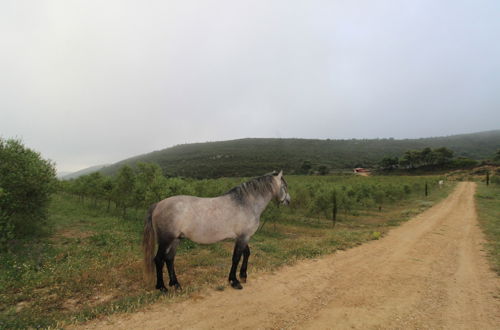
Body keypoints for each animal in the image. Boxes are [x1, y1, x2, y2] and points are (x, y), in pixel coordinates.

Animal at [142, 170, 290, 292]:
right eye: (284, 186)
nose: (288, 201)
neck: (245, 203)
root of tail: (158, 205)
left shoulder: (243, 236)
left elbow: (246, 254)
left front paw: (243, 276)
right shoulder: (243, 237)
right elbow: (236, 257)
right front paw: (234, 281)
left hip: (176, 239)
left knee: (169, 259)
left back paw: (176, 284)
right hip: (166, 240)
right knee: (158, 260)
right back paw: (162, 287)